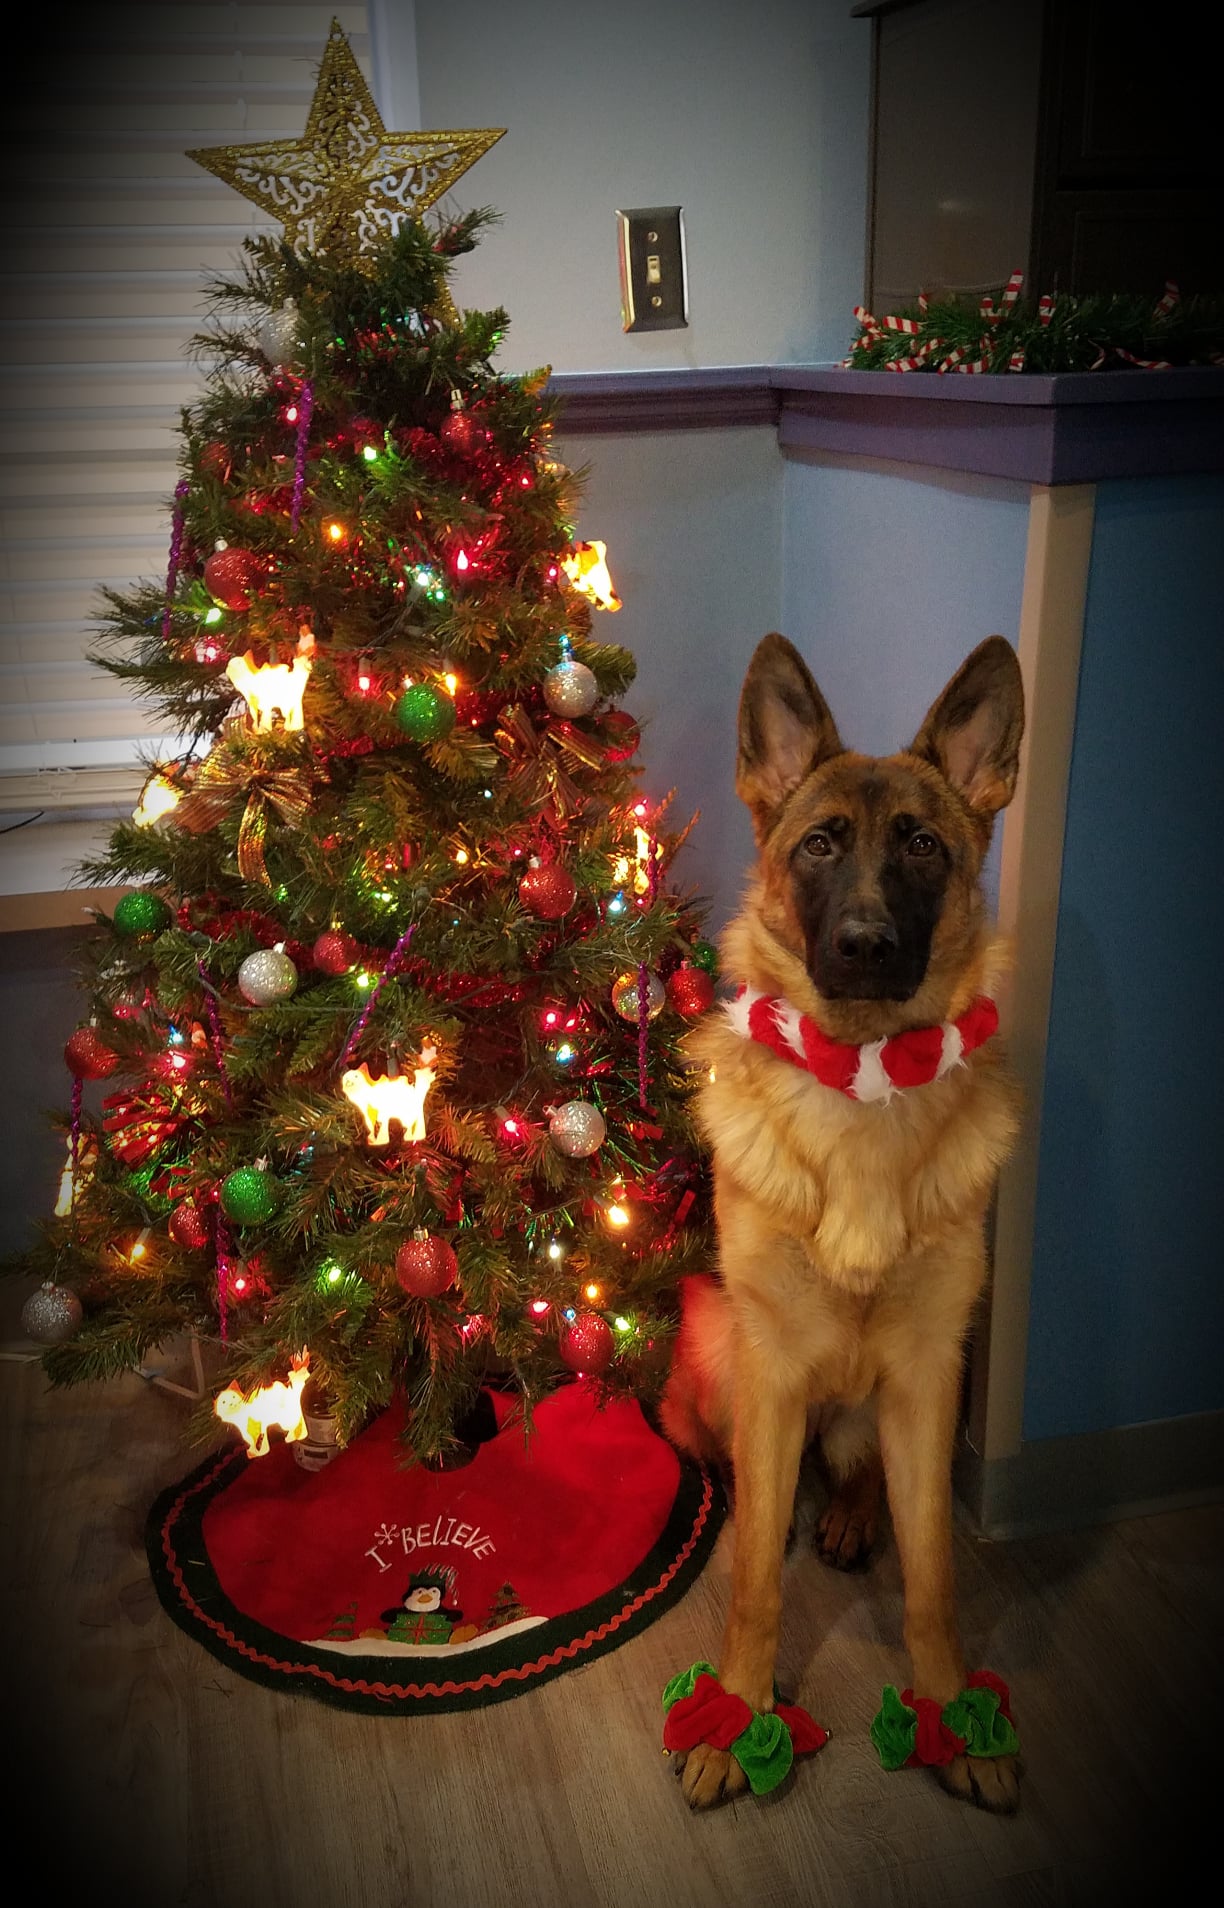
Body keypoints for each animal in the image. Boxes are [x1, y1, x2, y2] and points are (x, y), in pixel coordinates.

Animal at [661, 630, 1025, 1813]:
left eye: (923, 847)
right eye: (819, 845)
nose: (864, 944)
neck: (864, 1083)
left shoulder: (925, 1374)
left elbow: (935, 1580)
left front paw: (957, 1718)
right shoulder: (772, 1369)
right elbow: (755, 1593)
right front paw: (737, 1717)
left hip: (880, 1407)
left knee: (856, 1471)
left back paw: (854, 1515)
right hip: (723, 1358)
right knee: (741, 1472)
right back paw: (761, 1512)